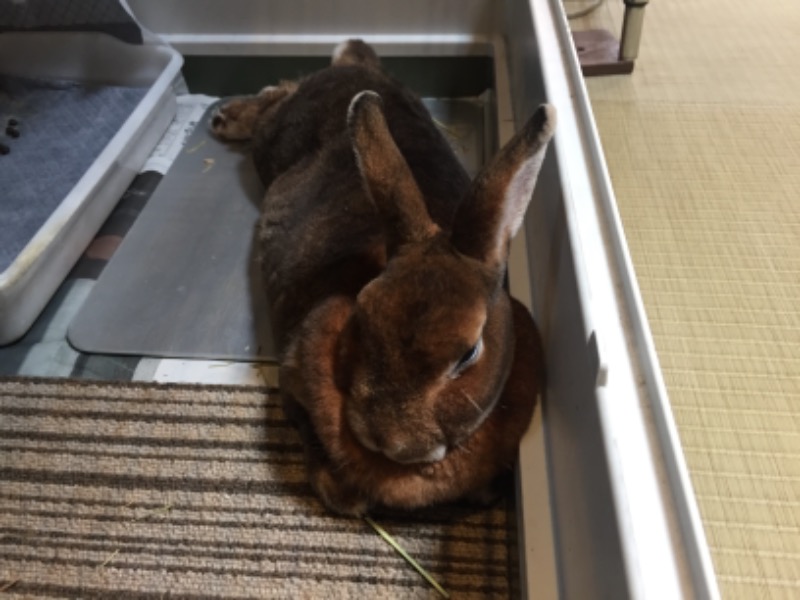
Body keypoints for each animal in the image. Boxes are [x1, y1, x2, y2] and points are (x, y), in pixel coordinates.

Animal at [212, 38, 556, 516]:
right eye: (361, 316)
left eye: (469, 354)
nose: (387, 436)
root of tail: (354, 69)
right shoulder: (291, 382)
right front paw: (346, 495)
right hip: (273, 142)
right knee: (276, 99)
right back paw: (227, 117)